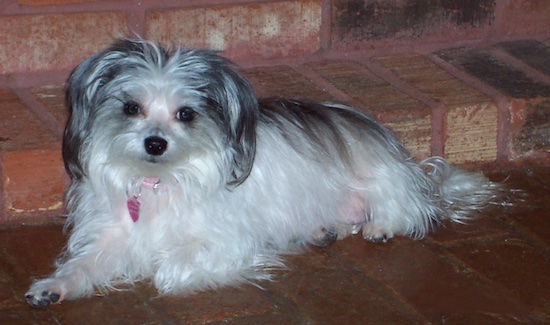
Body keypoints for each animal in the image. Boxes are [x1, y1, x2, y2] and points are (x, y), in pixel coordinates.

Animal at [28, 38, 506, 306]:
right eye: (131, 108)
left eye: (186, 114)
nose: (155, 143)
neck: (158, 180)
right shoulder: (109, 235)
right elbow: (84, 264)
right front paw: (54, 287)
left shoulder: (227, 243)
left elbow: (167, 268)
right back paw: (324, 231)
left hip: (383, 181)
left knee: (407, 212)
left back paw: (381, 226)